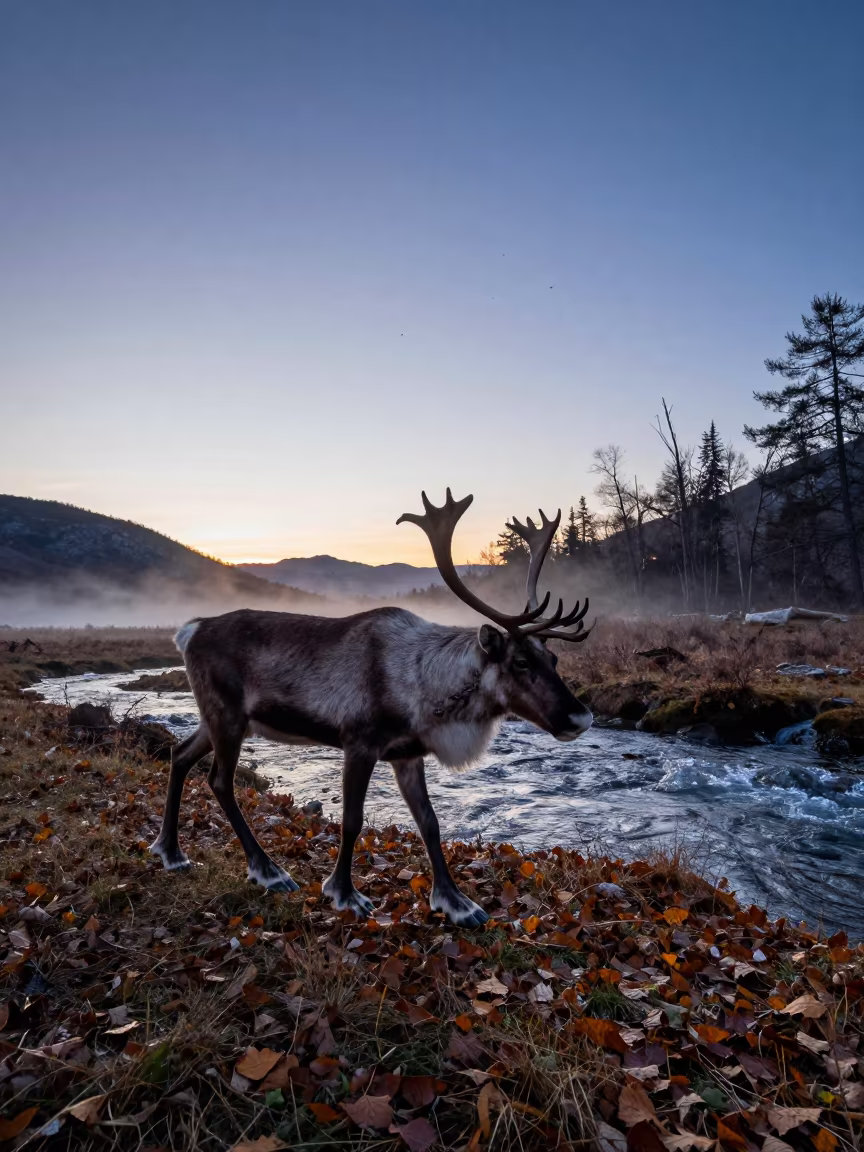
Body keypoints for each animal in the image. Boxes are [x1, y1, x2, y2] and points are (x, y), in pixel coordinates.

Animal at [149, 490, 593, 927]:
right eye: (520, 662)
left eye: (553, 659)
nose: (582, 717)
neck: (424, 686)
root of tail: (189, 631)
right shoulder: (359, 743)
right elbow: (352, 820)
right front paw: (344, 893)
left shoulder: (407, 755)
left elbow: (430, 823)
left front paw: (455, 902)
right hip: (227, 715)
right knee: (220, 781)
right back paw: (268, 870)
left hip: (220, 718)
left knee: (179, 755)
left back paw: (170, 851)